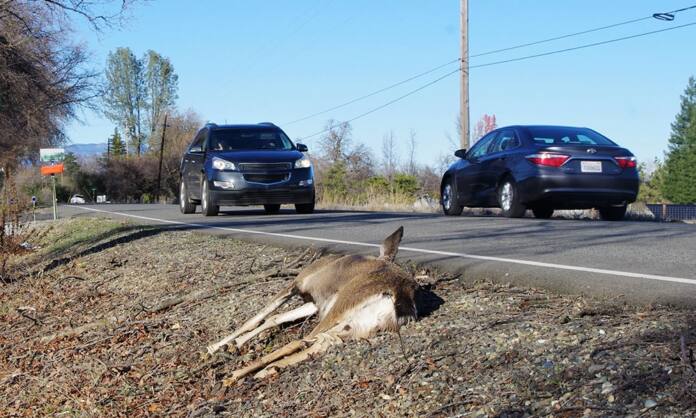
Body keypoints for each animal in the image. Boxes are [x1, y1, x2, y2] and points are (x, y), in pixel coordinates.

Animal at [207, 227, 418, 384]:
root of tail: (400, 296)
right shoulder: (315, 303)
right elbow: (275, 317)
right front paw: (233, 344)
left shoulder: (298, 284)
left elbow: (258, 316)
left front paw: (218, 346)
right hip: (358, 323)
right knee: (323, 342)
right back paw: (267, 370)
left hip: (341, 306)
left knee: (302, 340)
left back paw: (237, 374)